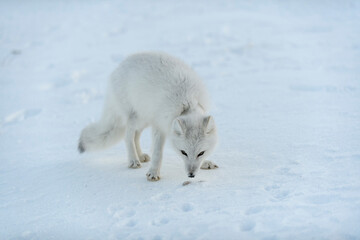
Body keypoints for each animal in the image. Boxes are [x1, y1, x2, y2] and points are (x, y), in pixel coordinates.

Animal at [78, 51, 218, 181]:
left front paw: (205, 162)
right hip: (136, 117)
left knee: (136, 136)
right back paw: (133, 160)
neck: (188, 103)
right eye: (183, 152)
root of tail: (118, 68)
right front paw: (153, 173)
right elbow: (157, 153)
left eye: (201, 153)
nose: (191, 175)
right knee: (128, 137)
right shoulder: (159, 125)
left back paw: (140, 156)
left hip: (145, 119)